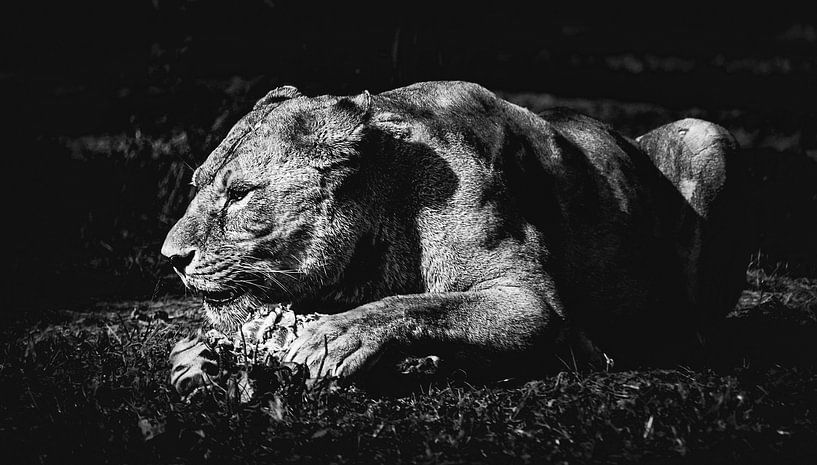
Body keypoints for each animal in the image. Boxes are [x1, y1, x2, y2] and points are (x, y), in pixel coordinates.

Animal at [162, 81, 748, 393]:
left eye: (240, 194)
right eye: (196, 187)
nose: (170, 257)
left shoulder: (535, 303)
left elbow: (421, 305)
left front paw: (340, 335)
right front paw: (195, 360)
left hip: (708, 134)